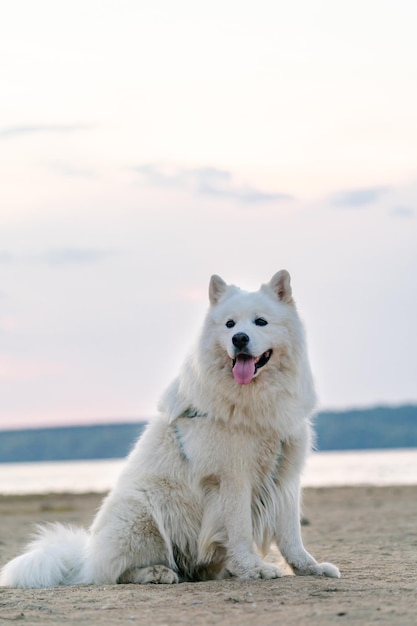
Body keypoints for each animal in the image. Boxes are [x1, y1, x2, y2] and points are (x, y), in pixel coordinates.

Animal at [0, 270, 338, 584]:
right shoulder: (232, 478)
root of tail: (84, 558)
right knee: (115, 572)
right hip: (142, 513)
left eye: (260, 322)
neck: (253, 401)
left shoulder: (285, 475)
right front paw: (254, 568)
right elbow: (240, 530)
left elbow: (291, 534)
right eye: (230, 325)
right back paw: (157, 572)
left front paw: (309, 568)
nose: (239, 338)